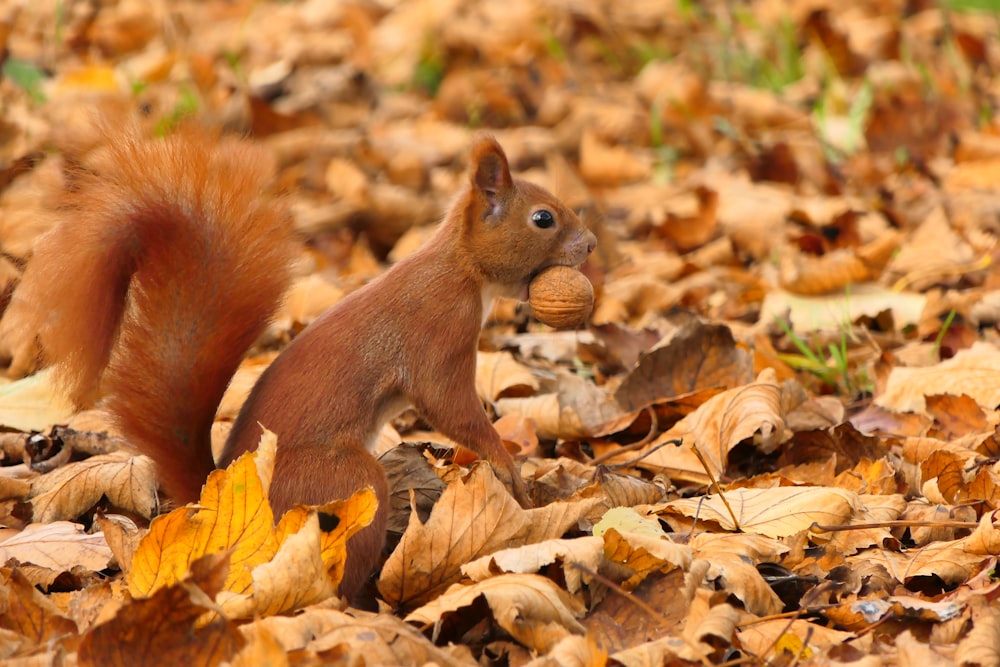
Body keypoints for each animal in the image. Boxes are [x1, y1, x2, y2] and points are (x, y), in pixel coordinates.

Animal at [1, 126, 592, 600]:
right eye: (542, 219)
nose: (588, 245)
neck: (462, 268)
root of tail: (221, 496)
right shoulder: (438, 335)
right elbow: (450, 406)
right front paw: (506, 464)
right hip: (342, 478)